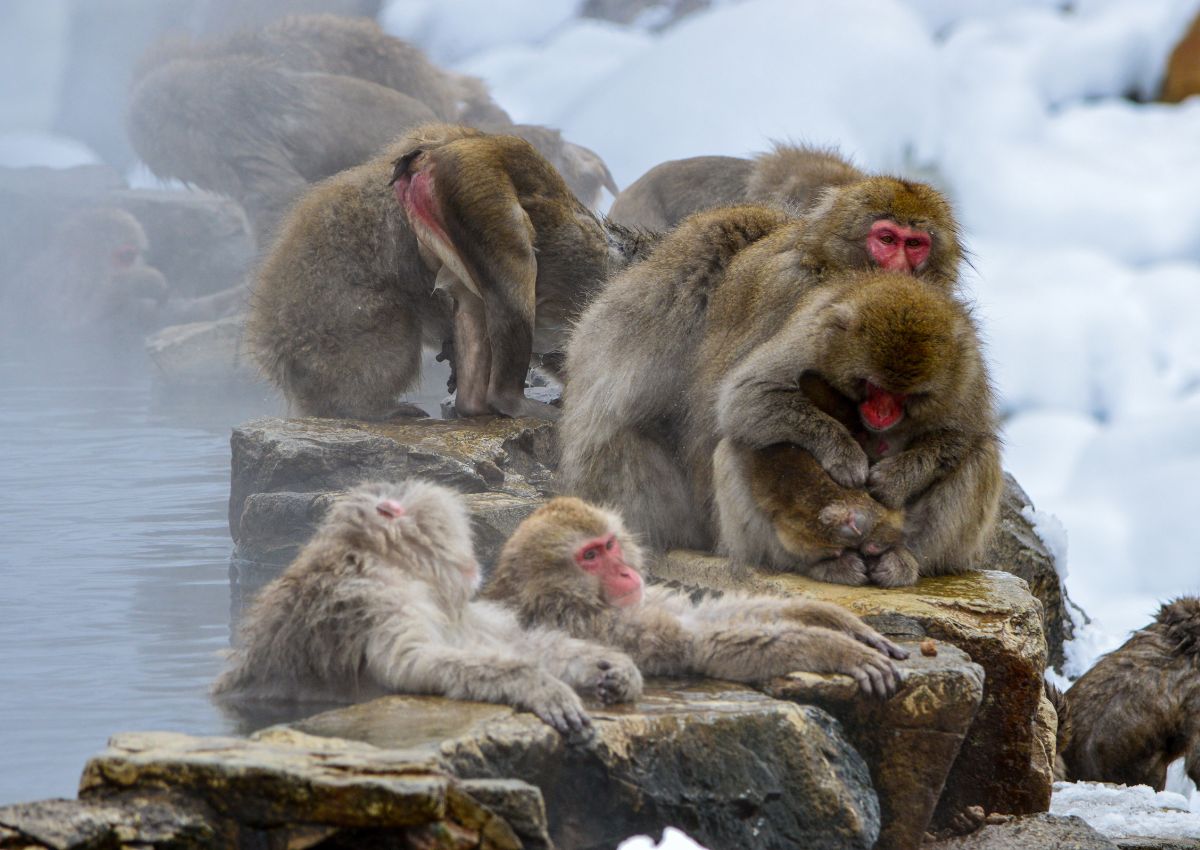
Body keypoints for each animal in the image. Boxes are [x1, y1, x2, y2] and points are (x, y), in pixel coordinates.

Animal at [216, 477, 648, 734]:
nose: (472, 561)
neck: (388, 562)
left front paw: (605, 663)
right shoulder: (374, 597)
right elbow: (414, 662)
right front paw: (533, 684)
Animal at [484, 497, 907, 696]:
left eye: (608, 545)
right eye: (589, 557)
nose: (624, 572)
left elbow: (706, 612)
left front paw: (831, 619)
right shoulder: (591, 623)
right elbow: (701, 642)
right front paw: (837, 650)